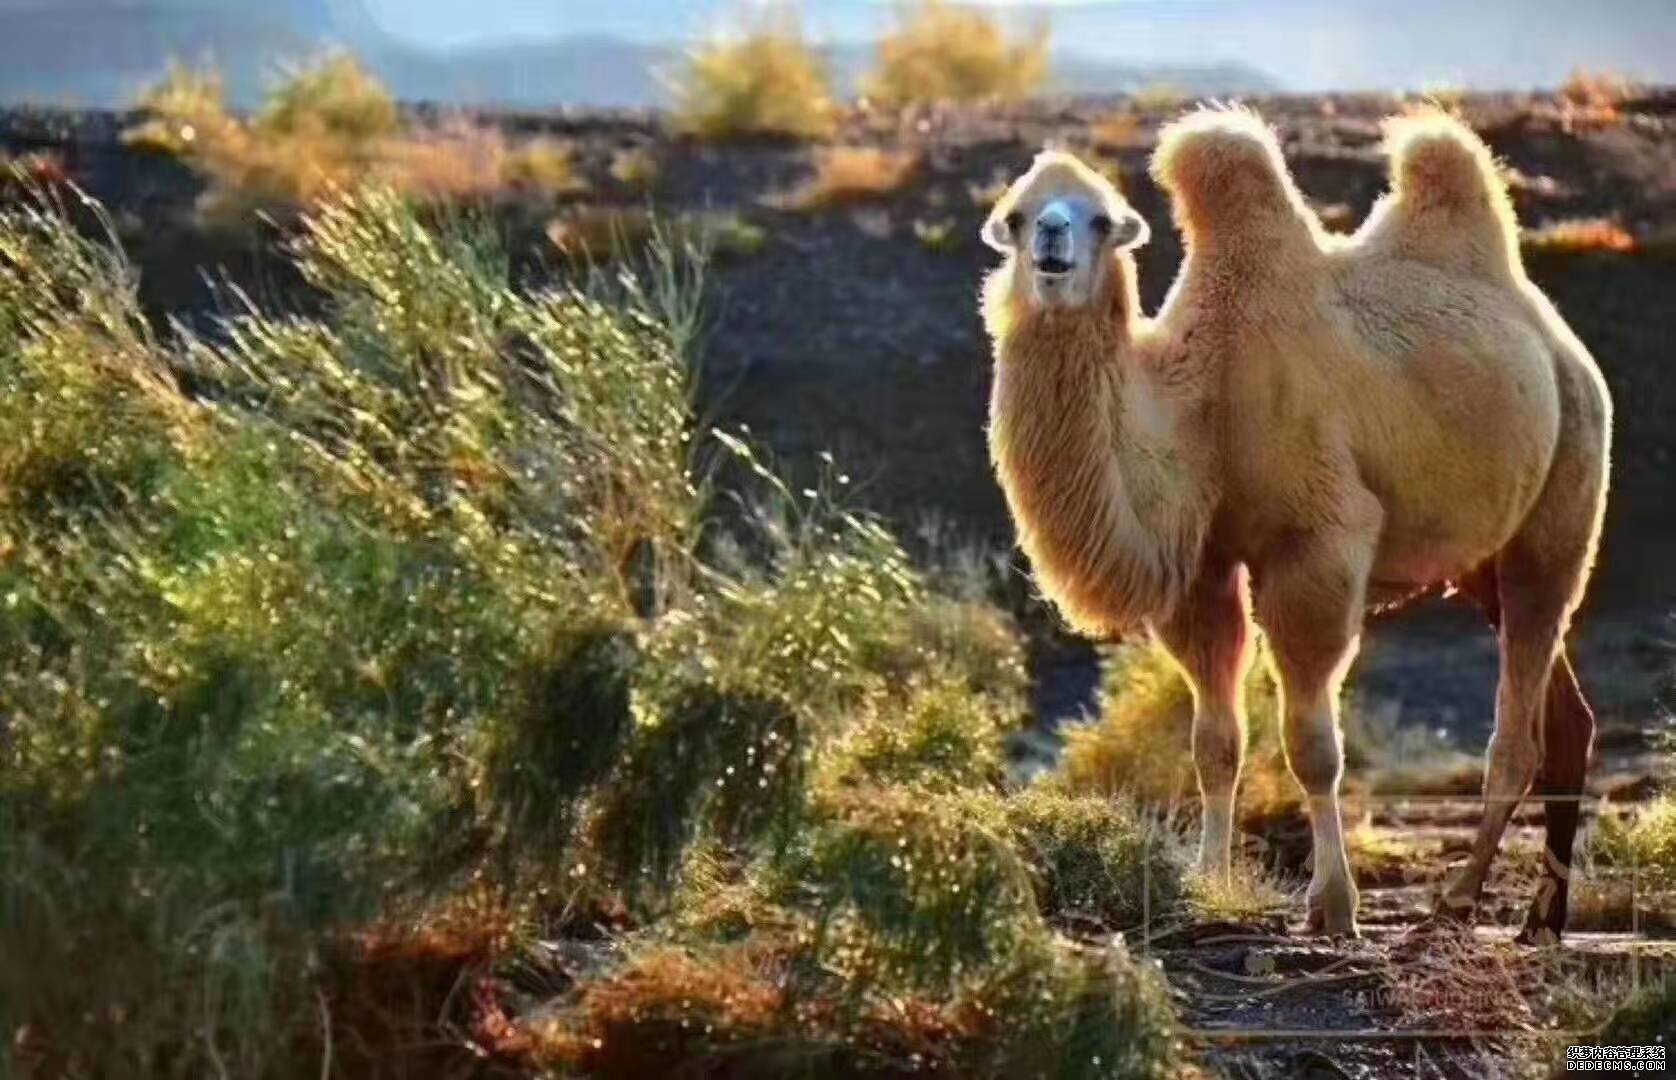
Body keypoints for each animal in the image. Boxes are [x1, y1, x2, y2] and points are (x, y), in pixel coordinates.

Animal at [978, 105, 1608, 939]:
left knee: (1520, 721)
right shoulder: (1204, 567)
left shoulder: (1320, 543)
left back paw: (1461, 897)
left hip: (1562, 502)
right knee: (1565, 719)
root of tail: (1559, 343)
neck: (1205, 403)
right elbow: (1214, 741)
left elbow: (1313, 744)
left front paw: (1334, 906)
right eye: (1017, 215)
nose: (1052, 239)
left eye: (1102, 219)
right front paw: (1207, 881)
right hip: (1484, 564)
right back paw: (1544, 918)